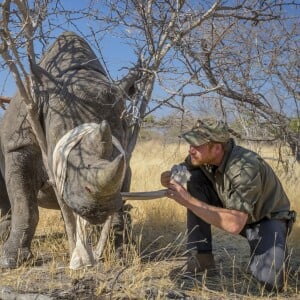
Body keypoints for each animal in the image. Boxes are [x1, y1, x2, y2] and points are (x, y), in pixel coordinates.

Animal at [0, 31, 138, 270]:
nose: (98, 209)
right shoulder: (17, 144)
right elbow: (25, 205)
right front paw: (10, 261)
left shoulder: (124, 157)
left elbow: (121, 192)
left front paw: (121, 254)